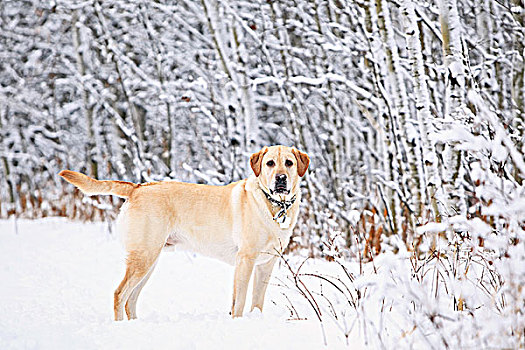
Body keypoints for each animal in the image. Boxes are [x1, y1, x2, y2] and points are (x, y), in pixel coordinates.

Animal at [59, 145, 310, 320]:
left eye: (288, 163)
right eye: (270, 163)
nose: (280, 179)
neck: (275, 205)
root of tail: (137, 187)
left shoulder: (266, 264)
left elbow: (257, 302)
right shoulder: (245, 260)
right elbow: (238, 302)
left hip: (149, 261)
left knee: (131, 299)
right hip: (143, 257)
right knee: (120, 294)